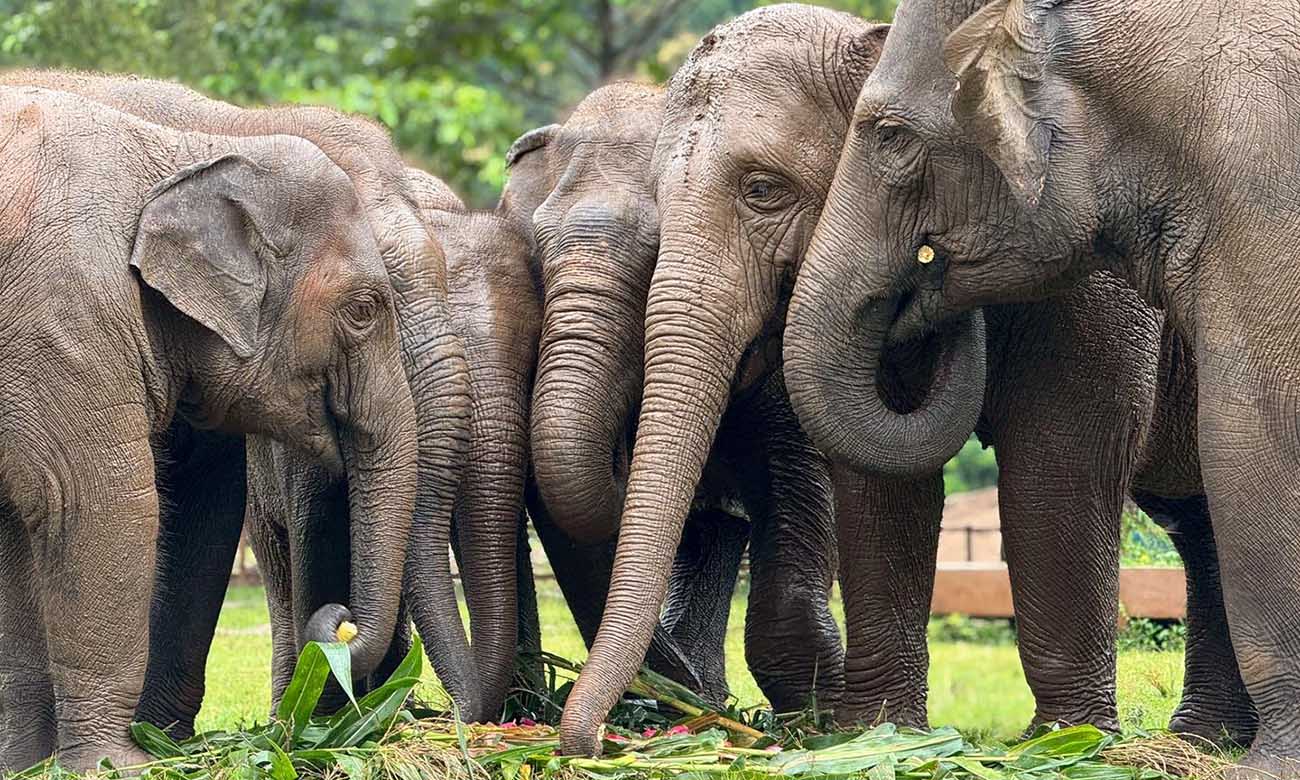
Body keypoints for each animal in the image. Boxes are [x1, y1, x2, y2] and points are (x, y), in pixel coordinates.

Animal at [553, 4, 1254, 755]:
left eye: (762, 190)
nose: (584, 744)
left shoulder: (1096, 276)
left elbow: (1060, 456)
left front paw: (1066, 743)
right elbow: (882, 477)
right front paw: (880, 735)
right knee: (1205, 523)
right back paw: (1209, 740)